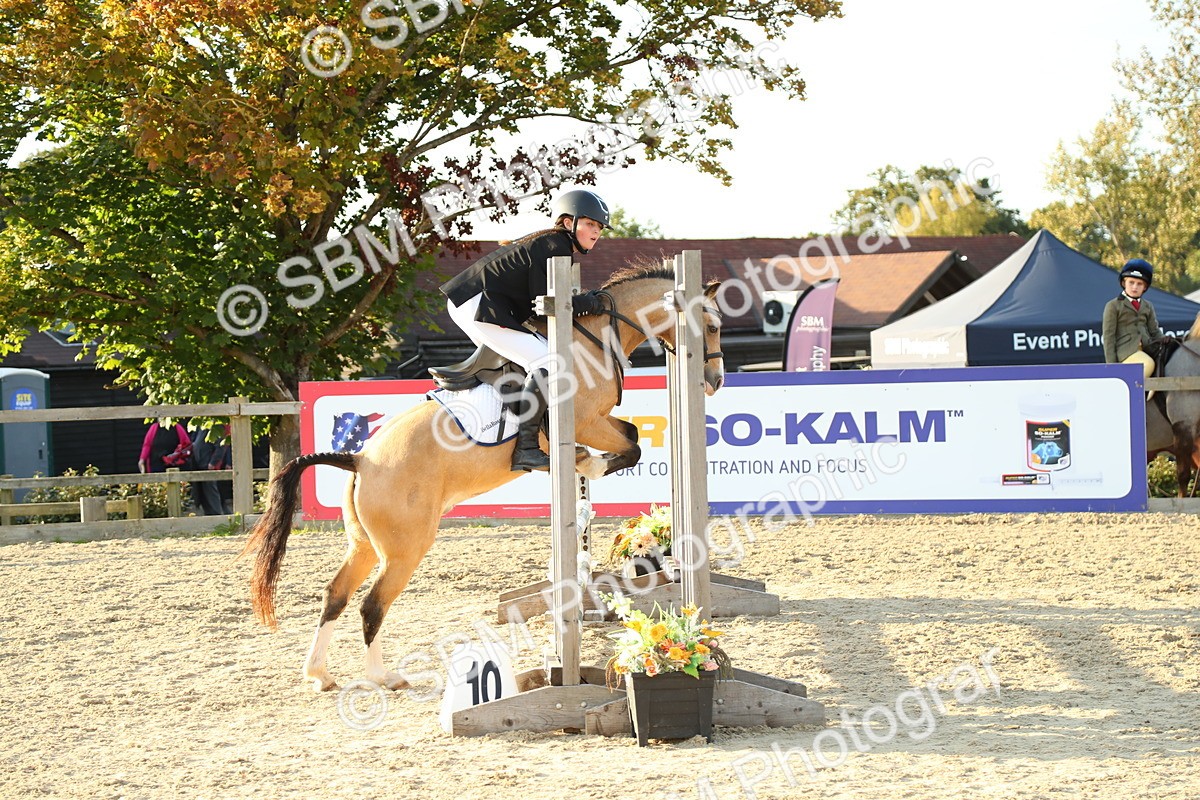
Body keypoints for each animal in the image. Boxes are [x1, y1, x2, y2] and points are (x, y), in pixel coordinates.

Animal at [242, 263, 726, 691]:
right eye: (712, 324)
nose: (715, 380)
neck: (593, 339)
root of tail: (360, 460)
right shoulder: (588, 421)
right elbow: (630, 444)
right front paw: (586, 464)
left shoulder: (598, 422)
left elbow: (630, 437)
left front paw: (582, 467)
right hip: (404, 548)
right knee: (371, 605)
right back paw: (383, 676)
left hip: (363, 544)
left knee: (335, 595)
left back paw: (319, 674)